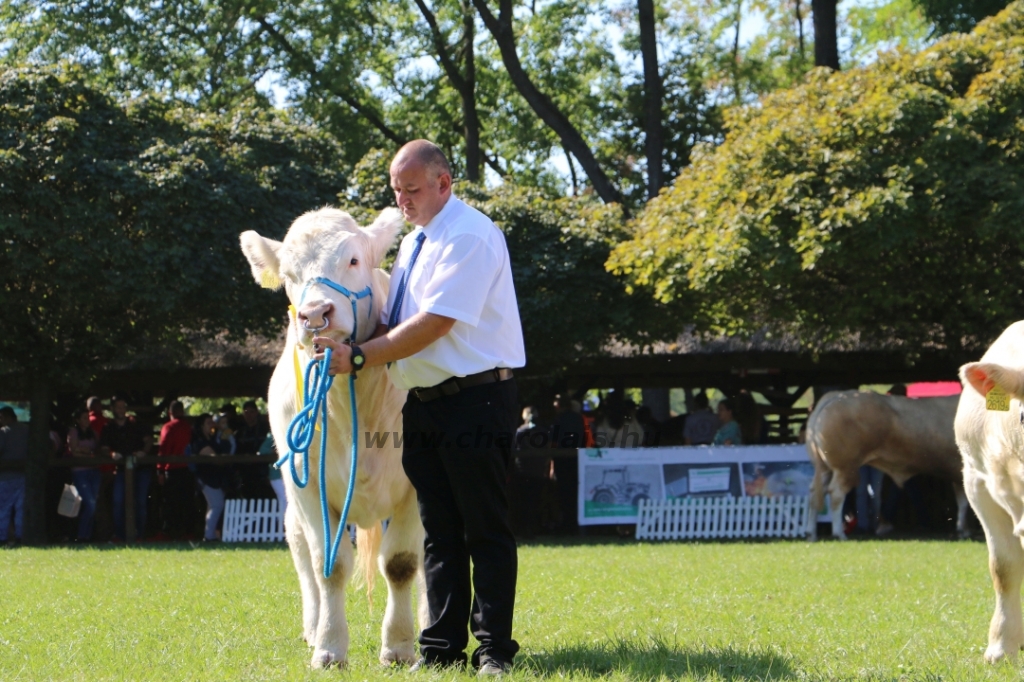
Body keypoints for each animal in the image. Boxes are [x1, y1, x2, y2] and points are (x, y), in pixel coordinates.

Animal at [237, 205, 425, 663]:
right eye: (289, 273)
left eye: (354, 260)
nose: (315, 314)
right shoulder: (307, 487)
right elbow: (331, 565)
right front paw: (328, 646)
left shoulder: (414, 486)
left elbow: (402, 563)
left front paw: (399, 646)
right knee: (304, 555)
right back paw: (311, 625)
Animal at [806, 391, 966, 540]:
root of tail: (838, 395)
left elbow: (963, 501)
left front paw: (962, 530)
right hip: (845, 467)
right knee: (836, 493)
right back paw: (839, 534)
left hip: (825, 468)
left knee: (815, 494)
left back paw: (811, 534)